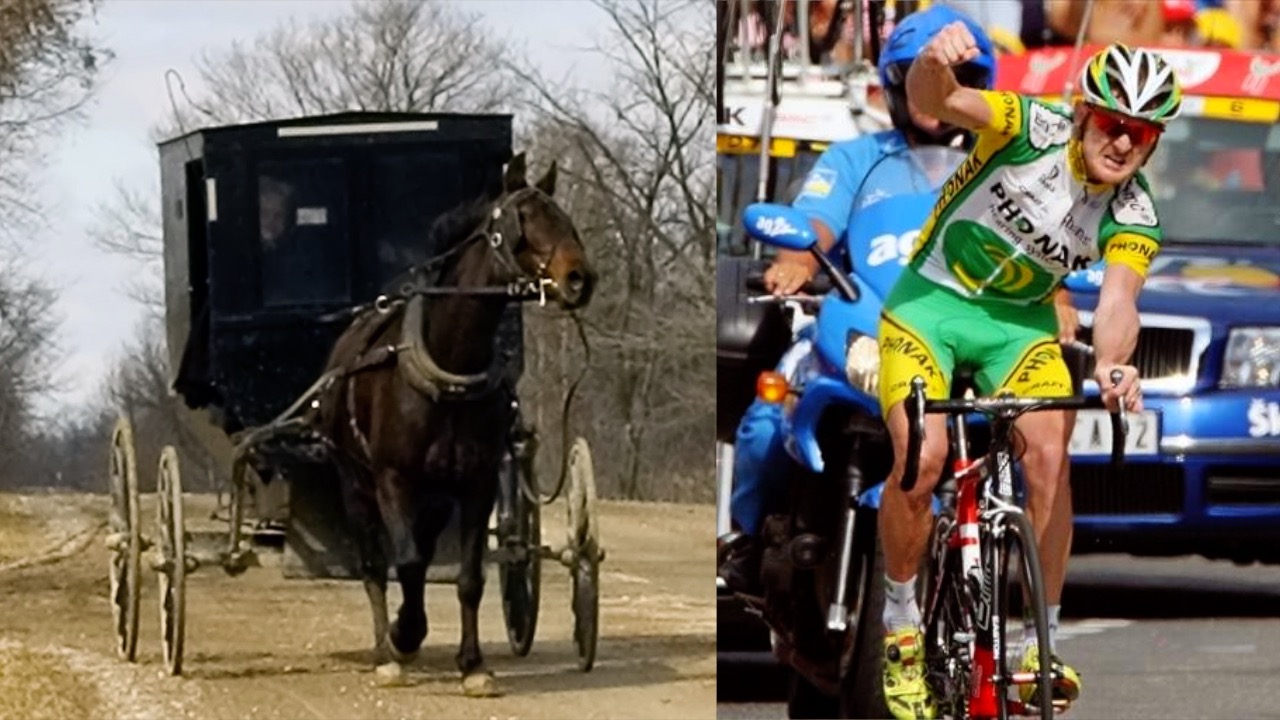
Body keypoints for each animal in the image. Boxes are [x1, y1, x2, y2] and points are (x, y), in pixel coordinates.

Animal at [312, 152, 591, 696]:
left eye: (565, 217)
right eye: (524, 218)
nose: (579, 278)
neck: (447, 365)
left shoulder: (475, 484)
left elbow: (467, 578)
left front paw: (473, 664)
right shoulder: (393, 479)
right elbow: (403, 563)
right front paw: (402, 637)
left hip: (435, 499)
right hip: (355, 482)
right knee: (375, 564)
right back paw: (386, 648)